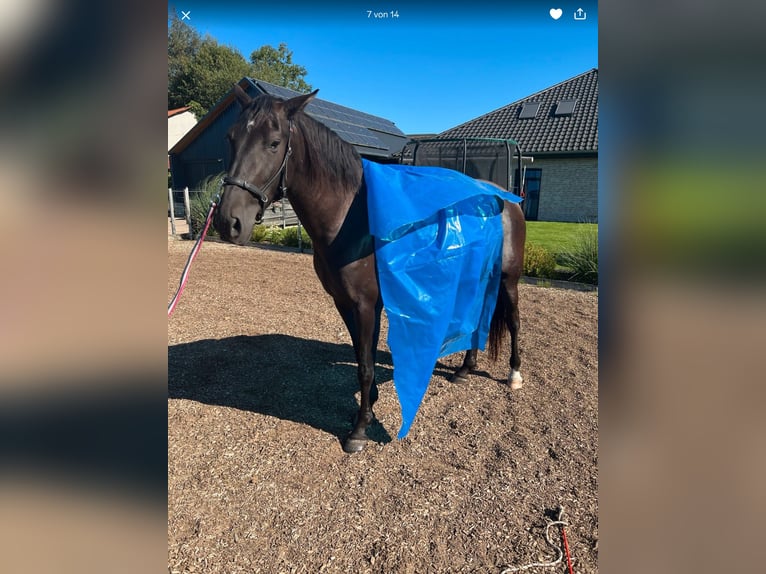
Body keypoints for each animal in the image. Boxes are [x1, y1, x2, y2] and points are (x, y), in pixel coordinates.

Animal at [213, 85, 526, 453]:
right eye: (231, 138)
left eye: (274, 143)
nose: (228, 221)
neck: (353, 219)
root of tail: (505, 196)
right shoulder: (346, 303)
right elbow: (362, 357)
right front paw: (369, 408)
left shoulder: (366, 304)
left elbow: (364, 365)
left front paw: (359, 429)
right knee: (477, 318)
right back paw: (465, 369)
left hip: (508, 279)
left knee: (514, 322)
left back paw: (514, 375)